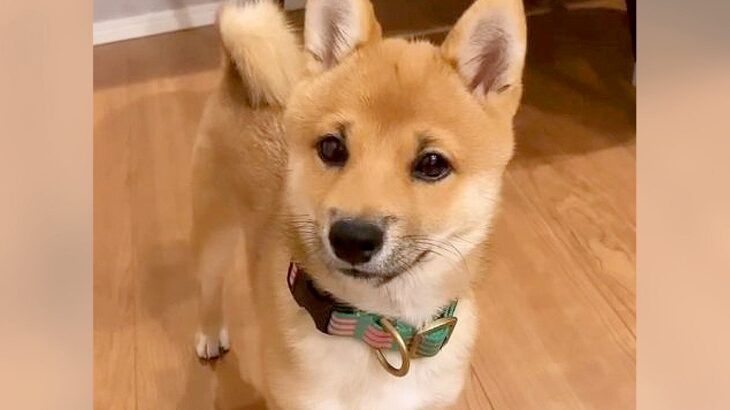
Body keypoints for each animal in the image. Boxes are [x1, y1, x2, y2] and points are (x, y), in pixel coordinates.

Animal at [191, 0, 526, 408]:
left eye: (432, 164)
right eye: (331, 147)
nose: (352, 238)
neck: (379, 327)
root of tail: (236, 77)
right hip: (213, 235)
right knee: (209, 290)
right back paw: (210, 335)